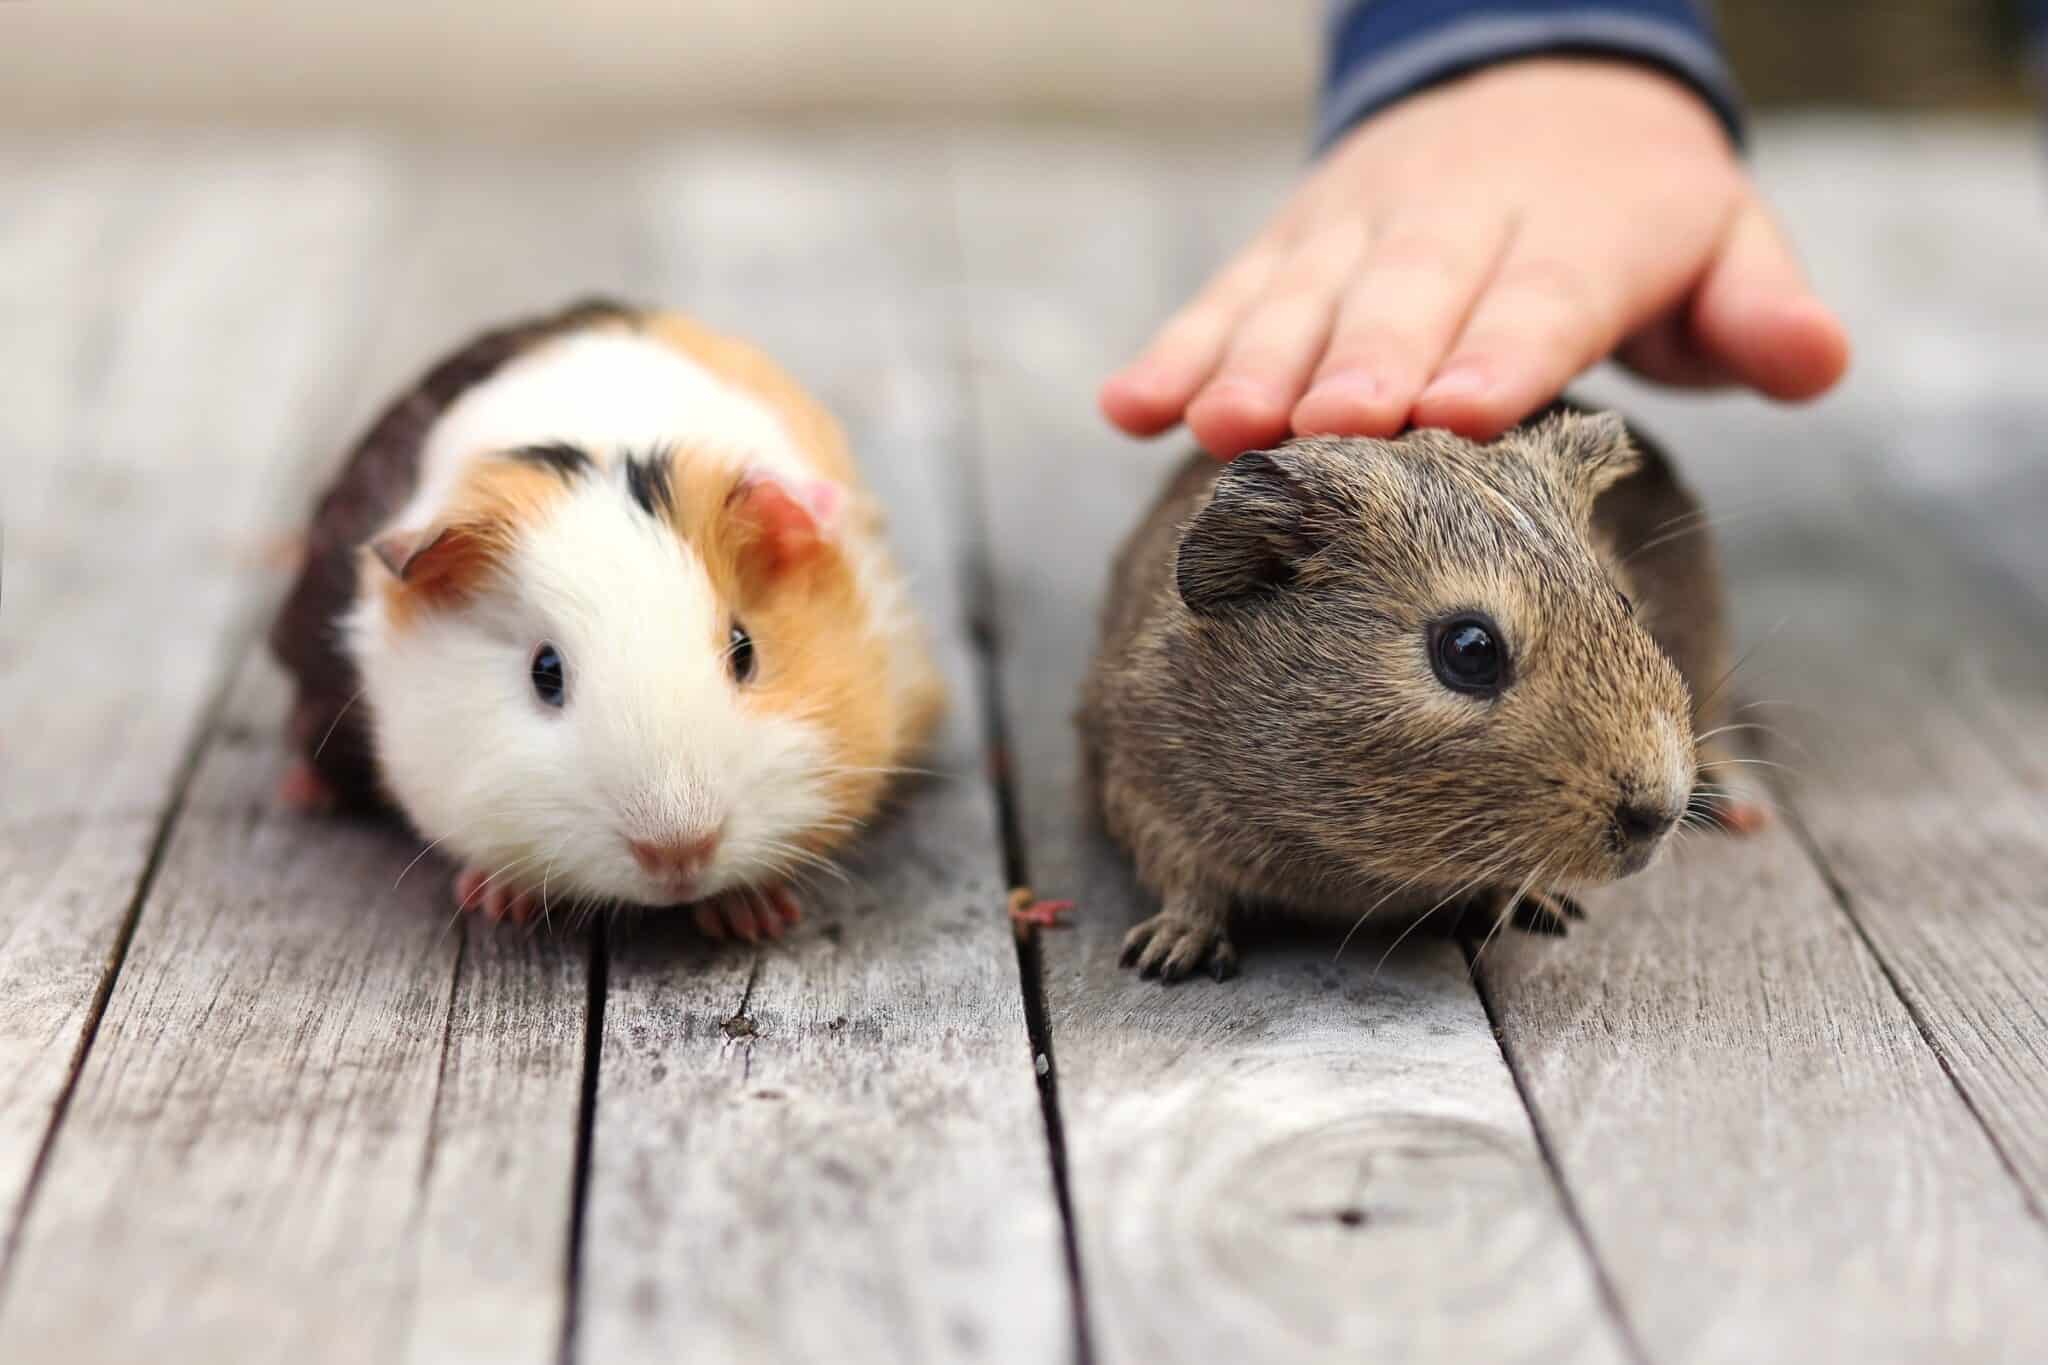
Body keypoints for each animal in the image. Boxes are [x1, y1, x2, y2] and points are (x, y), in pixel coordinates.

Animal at [269, 300, 944, 939]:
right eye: (545, 672)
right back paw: (302, 794)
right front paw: (500, 901)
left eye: (744, 648)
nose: (678, 852)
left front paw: (753, 917)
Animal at [1081, 406, 1760, 983]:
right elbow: (1184, 880)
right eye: (1470, 649)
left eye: (1621, 602)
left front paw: (1537, 907)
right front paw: (1169, 955)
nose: (1659, 814)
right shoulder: (1141, 785)